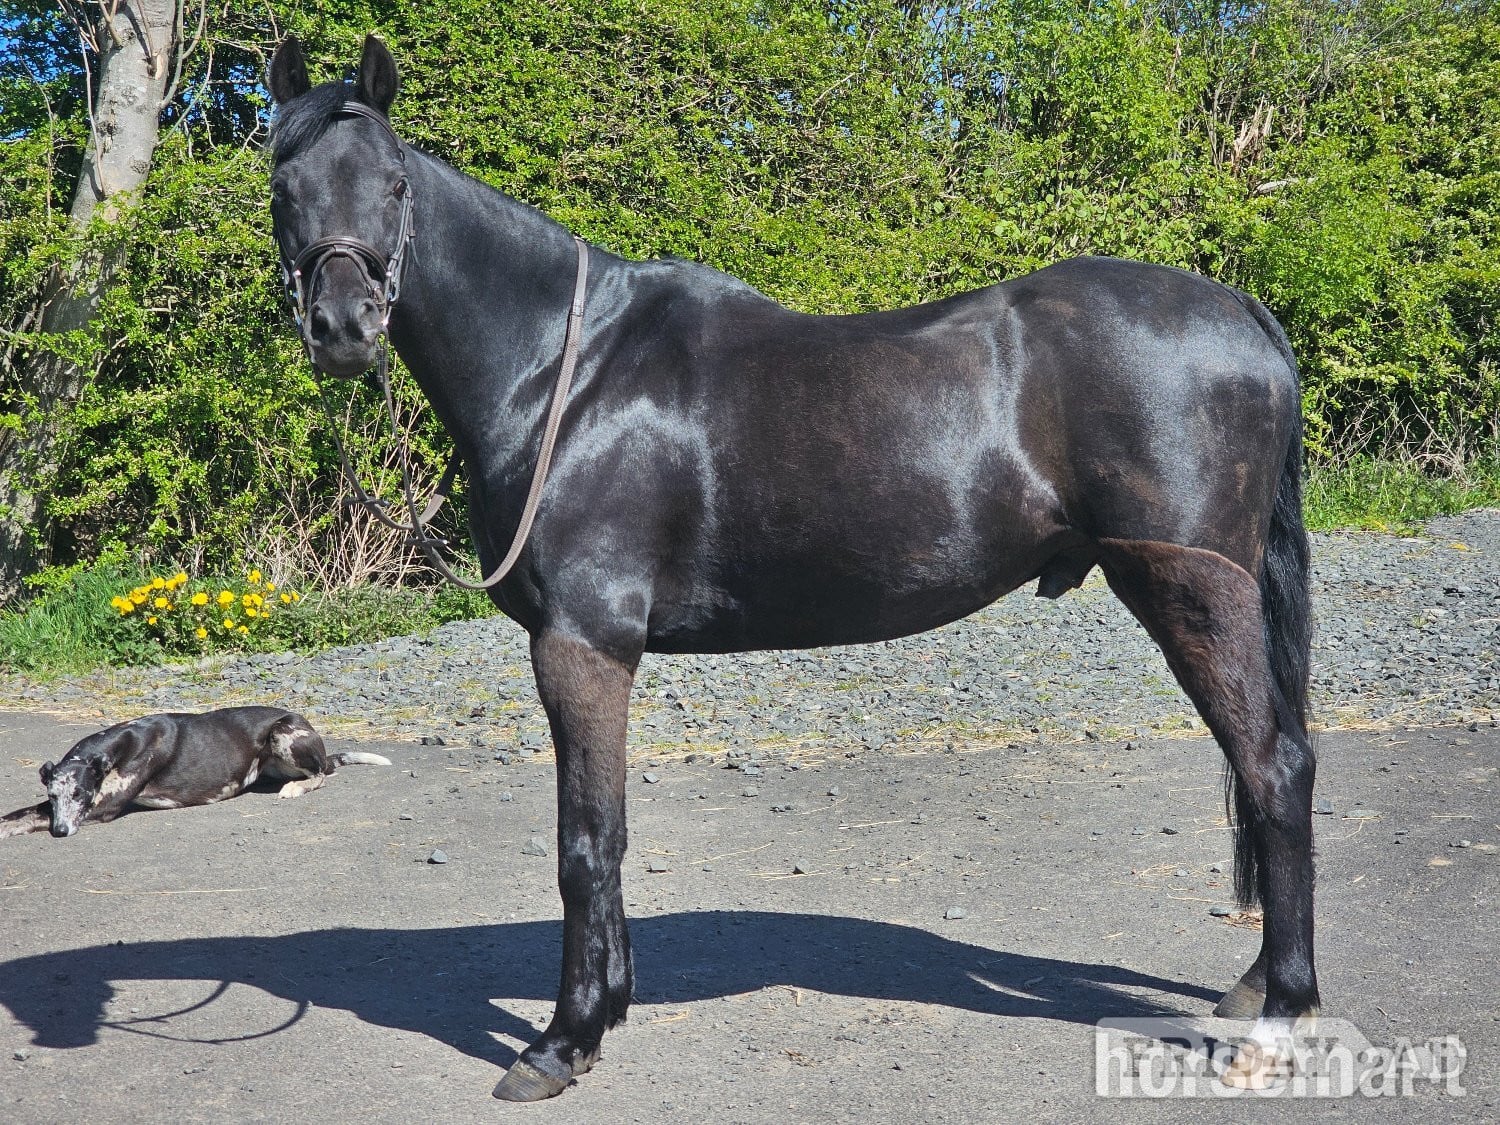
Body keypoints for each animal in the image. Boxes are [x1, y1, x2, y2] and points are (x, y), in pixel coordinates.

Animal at [267, 35, 1318, 1101]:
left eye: (396, 185)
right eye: (283, 184)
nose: (344, 327)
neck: (569, 374)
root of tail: (1240, 311)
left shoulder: (583, 644)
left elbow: (585, 843)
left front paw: (562, 1041)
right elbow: (608, 834)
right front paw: (607, 1010)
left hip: (1192, 590)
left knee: (1276, 768)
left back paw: (1282, 1018)